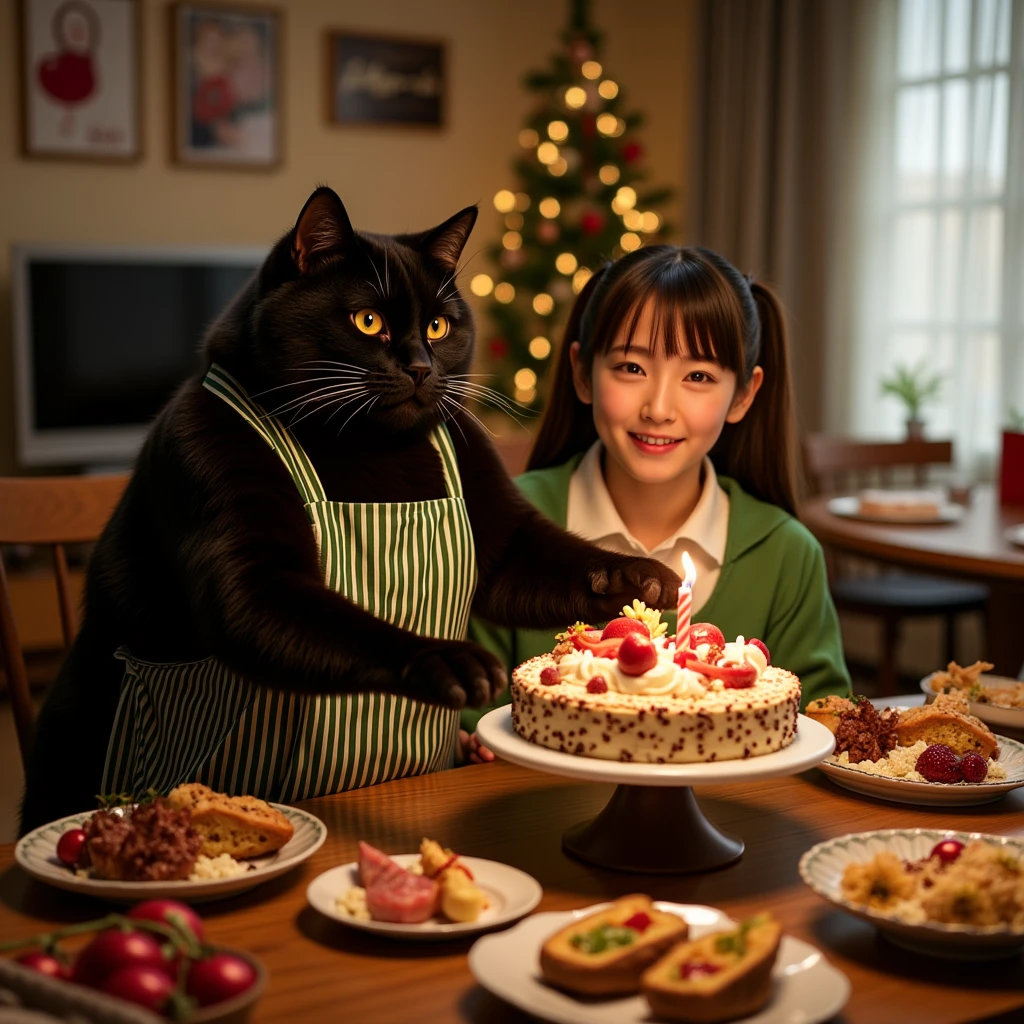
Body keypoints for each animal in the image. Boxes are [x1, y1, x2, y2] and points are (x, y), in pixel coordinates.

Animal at [19, 186, 675, 831]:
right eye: (368, 321)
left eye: (438, 326)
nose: (421, 366)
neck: (368, 451)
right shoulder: (228, 519)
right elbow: (336, 621)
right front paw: (448, 659)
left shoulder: (502, 530)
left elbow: (557, 559)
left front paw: (644, 577)